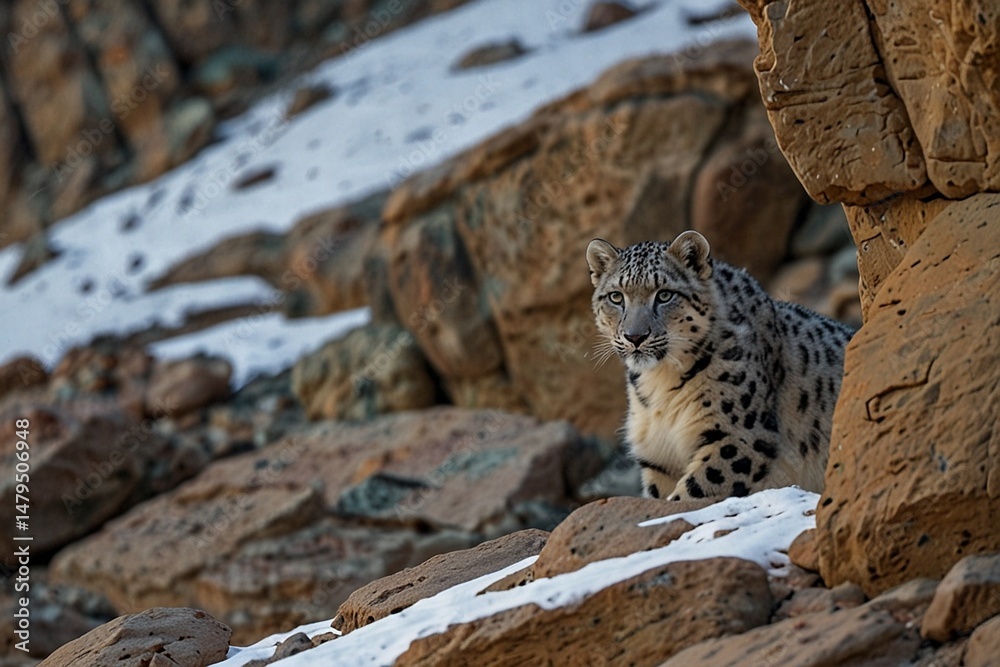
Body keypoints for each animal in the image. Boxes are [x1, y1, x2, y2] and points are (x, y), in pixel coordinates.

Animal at [586, 230, 855, 501]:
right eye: (616, 296)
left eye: (664, 295)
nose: (635, 336)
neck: (661, 381)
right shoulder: (658, 456)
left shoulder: (739, 437)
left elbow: (694, 492)